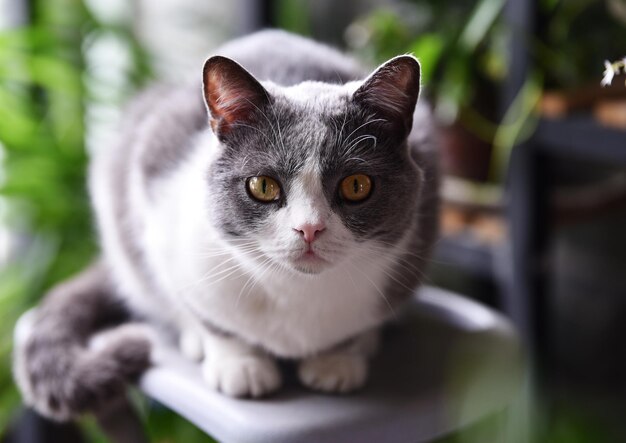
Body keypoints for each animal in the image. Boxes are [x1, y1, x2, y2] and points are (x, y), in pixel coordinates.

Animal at [12, 29, 436, 422]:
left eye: (356, 185)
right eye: (263, 185)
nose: (309, 229)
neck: (296, 292)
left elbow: (357, 326)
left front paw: (338, 360)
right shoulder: (163, 219)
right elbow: (208, 315)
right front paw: (241, 365)